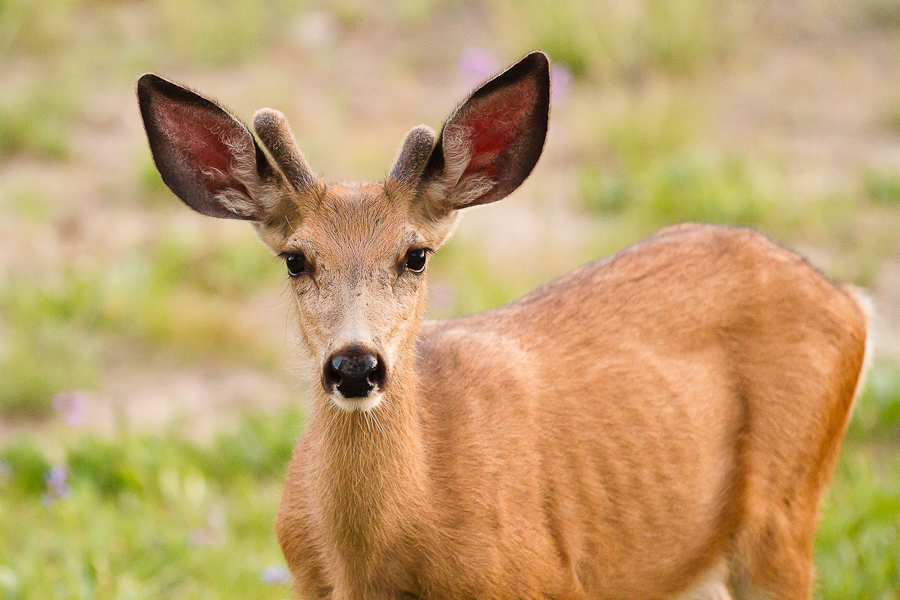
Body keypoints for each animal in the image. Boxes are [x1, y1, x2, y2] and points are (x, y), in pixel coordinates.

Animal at [139, 51, 872, 600]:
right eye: (295, 259)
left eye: (415, 255)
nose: (355, 365)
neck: (376, 564)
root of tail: (848, 298)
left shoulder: (546, 579)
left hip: (784, 514)